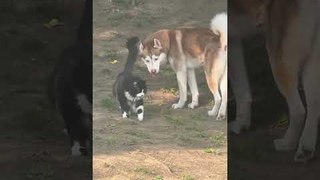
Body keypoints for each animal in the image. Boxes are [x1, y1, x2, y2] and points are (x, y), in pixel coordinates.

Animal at [231, 0, 320, 162]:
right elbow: (241, 89)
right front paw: (241, 124)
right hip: (311, 61)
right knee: (314, 105)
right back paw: (305, 149)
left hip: (279, 60)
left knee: (298, 110)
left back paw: (287, 143)